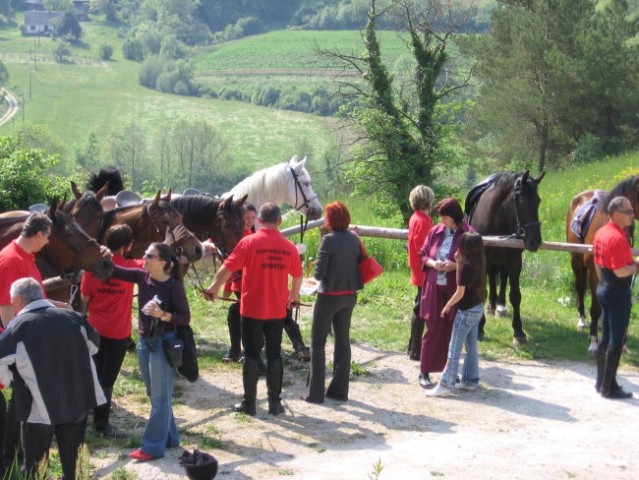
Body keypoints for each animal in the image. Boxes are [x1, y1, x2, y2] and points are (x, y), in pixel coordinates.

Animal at [464, 172, 544, 344]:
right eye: (522, 200)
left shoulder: (515, 262)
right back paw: (492, 306)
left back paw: (499, 306)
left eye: (538, 201)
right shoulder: (483, 259)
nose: (535, 241)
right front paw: (480, 329)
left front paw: (518, 331)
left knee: (501, 277)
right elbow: (483, 291)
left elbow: (515, 295)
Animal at [564, 175, 639, 352]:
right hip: (576, 261)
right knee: (580, 287)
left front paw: (622, 345)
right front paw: (593, 343)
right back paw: (582, 321)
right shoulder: (593, 272)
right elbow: (595, 308)